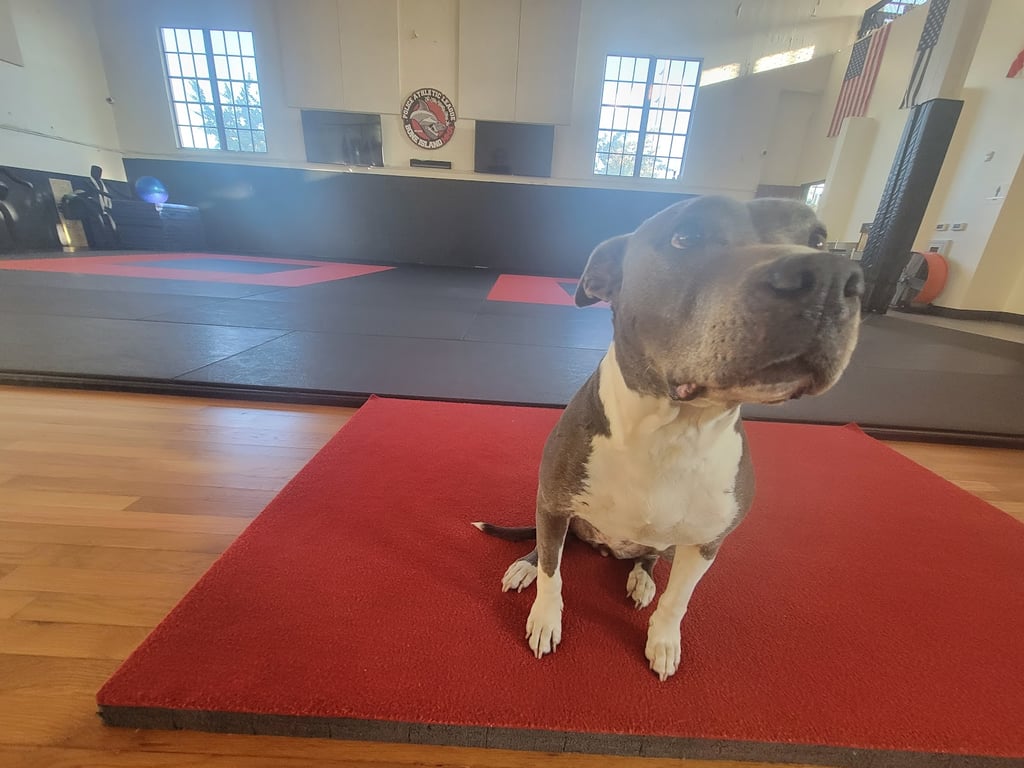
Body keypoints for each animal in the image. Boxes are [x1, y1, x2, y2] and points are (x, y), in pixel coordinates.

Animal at [475, 195, 862, 681]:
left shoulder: (706, 544)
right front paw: (545, 619)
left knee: (649, 558)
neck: (672, 432)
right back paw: (524, 568)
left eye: (818, 239)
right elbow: (552, 572)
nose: (832, 277)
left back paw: (641, 578)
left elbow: (678, 600)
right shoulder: (553, 503)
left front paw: (662, 641)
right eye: (686, 236)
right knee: (546, 551)